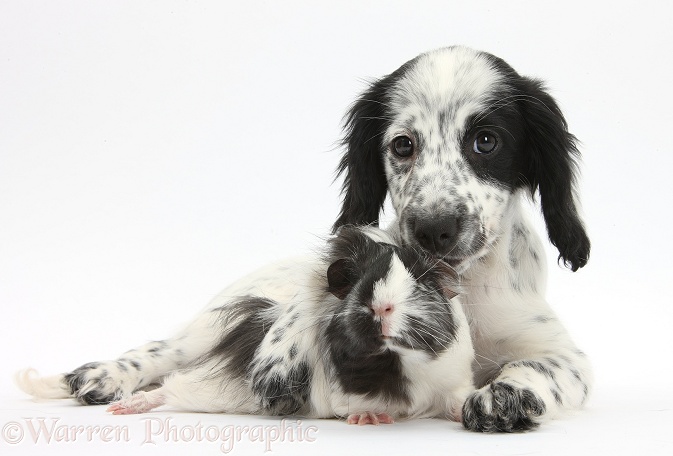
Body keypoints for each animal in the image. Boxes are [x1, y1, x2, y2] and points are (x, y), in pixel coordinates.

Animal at [334, 45, 592, 432]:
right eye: (402, 145)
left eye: (485, 141)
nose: (433, 229)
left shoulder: (560, 351)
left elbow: (537, 365)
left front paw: (504, 396)